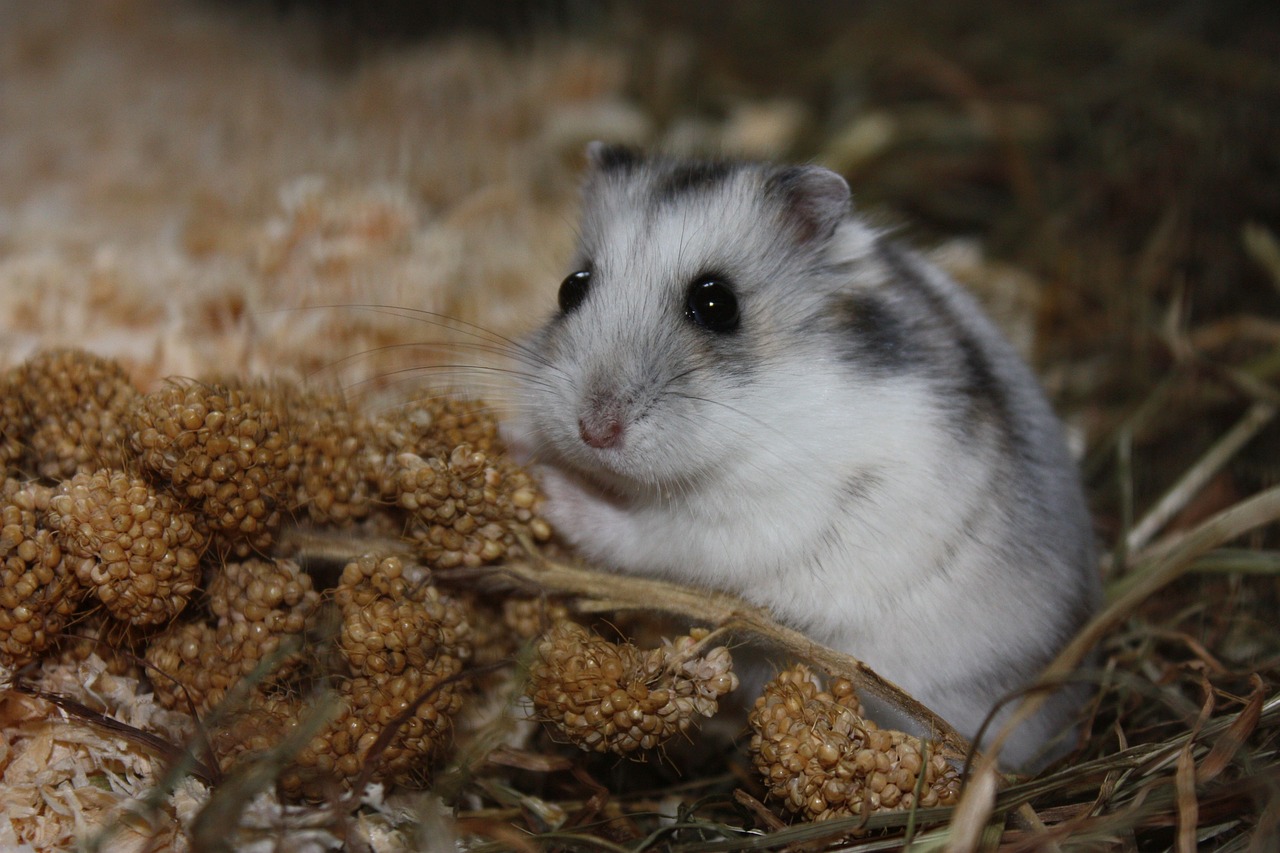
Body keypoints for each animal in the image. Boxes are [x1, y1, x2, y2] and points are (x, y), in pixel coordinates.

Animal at [503, 144, 1101, 769]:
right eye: (570, 288)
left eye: (716, 303)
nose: (593, 431)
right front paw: (514, 439)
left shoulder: (749, 522)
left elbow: (639, 535)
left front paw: (550, 486)